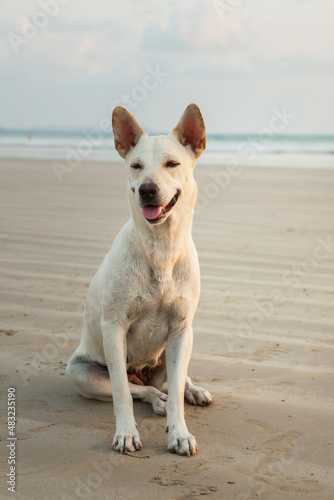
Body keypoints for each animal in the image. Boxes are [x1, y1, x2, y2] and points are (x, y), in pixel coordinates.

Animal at [67, 103, 214, 456]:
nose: (148, 189)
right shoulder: (114, 328)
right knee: (137, 390)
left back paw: (192, 390)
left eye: (172, 163)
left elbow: (176, 394)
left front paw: (179, 433)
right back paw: (155, 398)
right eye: (135, 166)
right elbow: (121, 392)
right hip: (82, 372)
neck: (161, 248)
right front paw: (125, 433)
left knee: (174, 380)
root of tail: (143, 375)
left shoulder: (181, 330)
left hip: (174, 351)